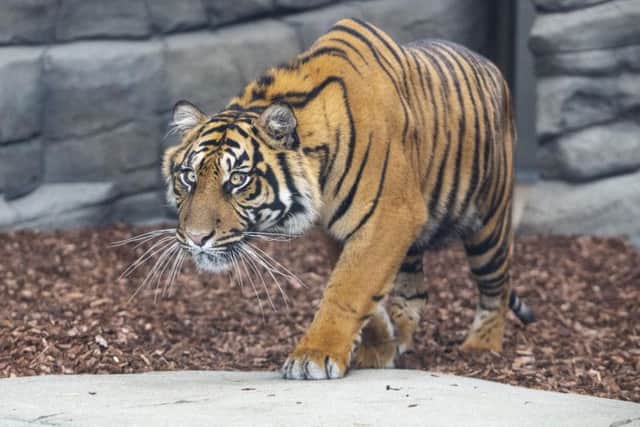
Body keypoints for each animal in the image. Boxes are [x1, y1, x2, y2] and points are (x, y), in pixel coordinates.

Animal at [161, 18, 534, 380]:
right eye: (189, 177)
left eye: (238, 179)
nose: (196, 238)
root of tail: (494, 67)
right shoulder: (340, 229)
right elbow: (361, 290)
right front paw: (379, 348)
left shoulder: (391, 215)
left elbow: (348, 288)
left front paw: (315, 355)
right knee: (415, 292)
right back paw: (403, 342)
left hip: (489, 224)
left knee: (496, 287)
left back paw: (480, 346)